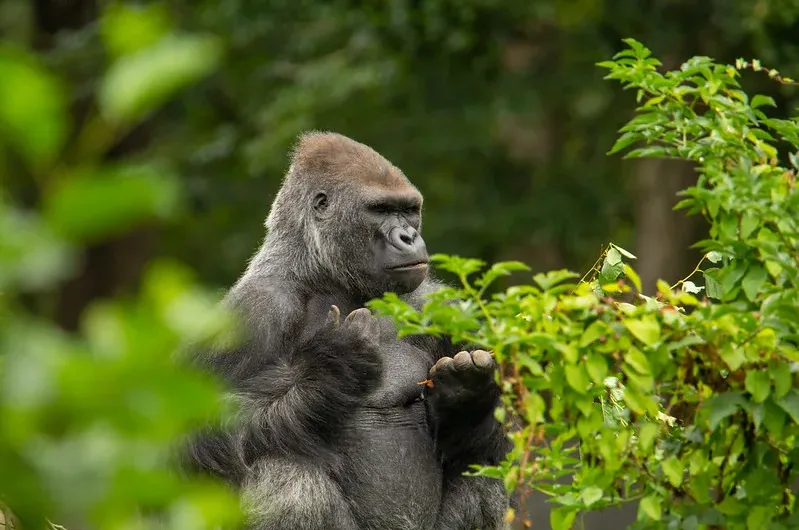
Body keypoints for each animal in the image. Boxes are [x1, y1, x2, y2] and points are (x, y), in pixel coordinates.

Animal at [186, 129, 512, 528]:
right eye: (381, 210)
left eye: (409, 210)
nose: (408, 237)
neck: (325, 275)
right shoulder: (253, 310)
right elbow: (191, 443)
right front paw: (334, 370)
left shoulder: (442, 307)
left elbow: (511, 441)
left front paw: (466, 400)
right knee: (284, 468)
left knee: (482, 467)